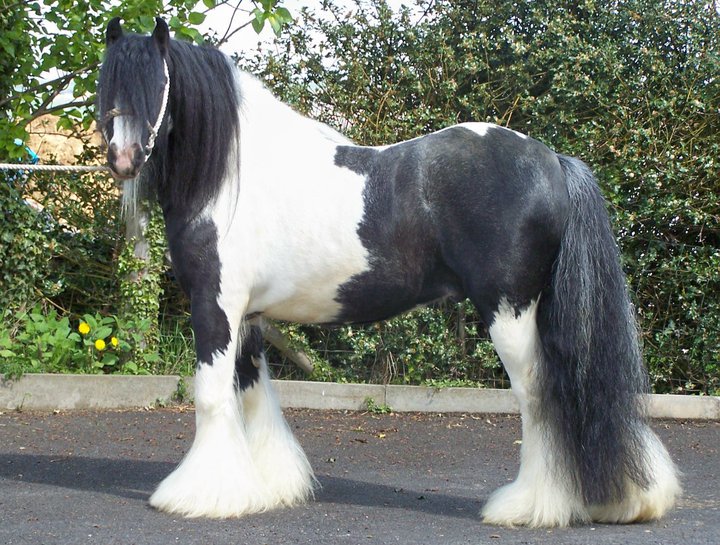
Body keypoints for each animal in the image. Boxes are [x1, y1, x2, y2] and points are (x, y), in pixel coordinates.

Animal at [97, 19, 680, 524]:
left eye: (158, 84)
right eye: (108, 82)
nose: (123, 159)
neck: (231, 175)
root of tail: (553, 161)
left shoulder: (214, 307)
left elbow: (212, 395)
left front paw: (201, 495)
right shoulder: (249, 316)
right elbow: (253, 392)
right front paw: (266, 487)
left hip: (509, 313)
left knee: (537, 399)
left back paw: (530, 506)